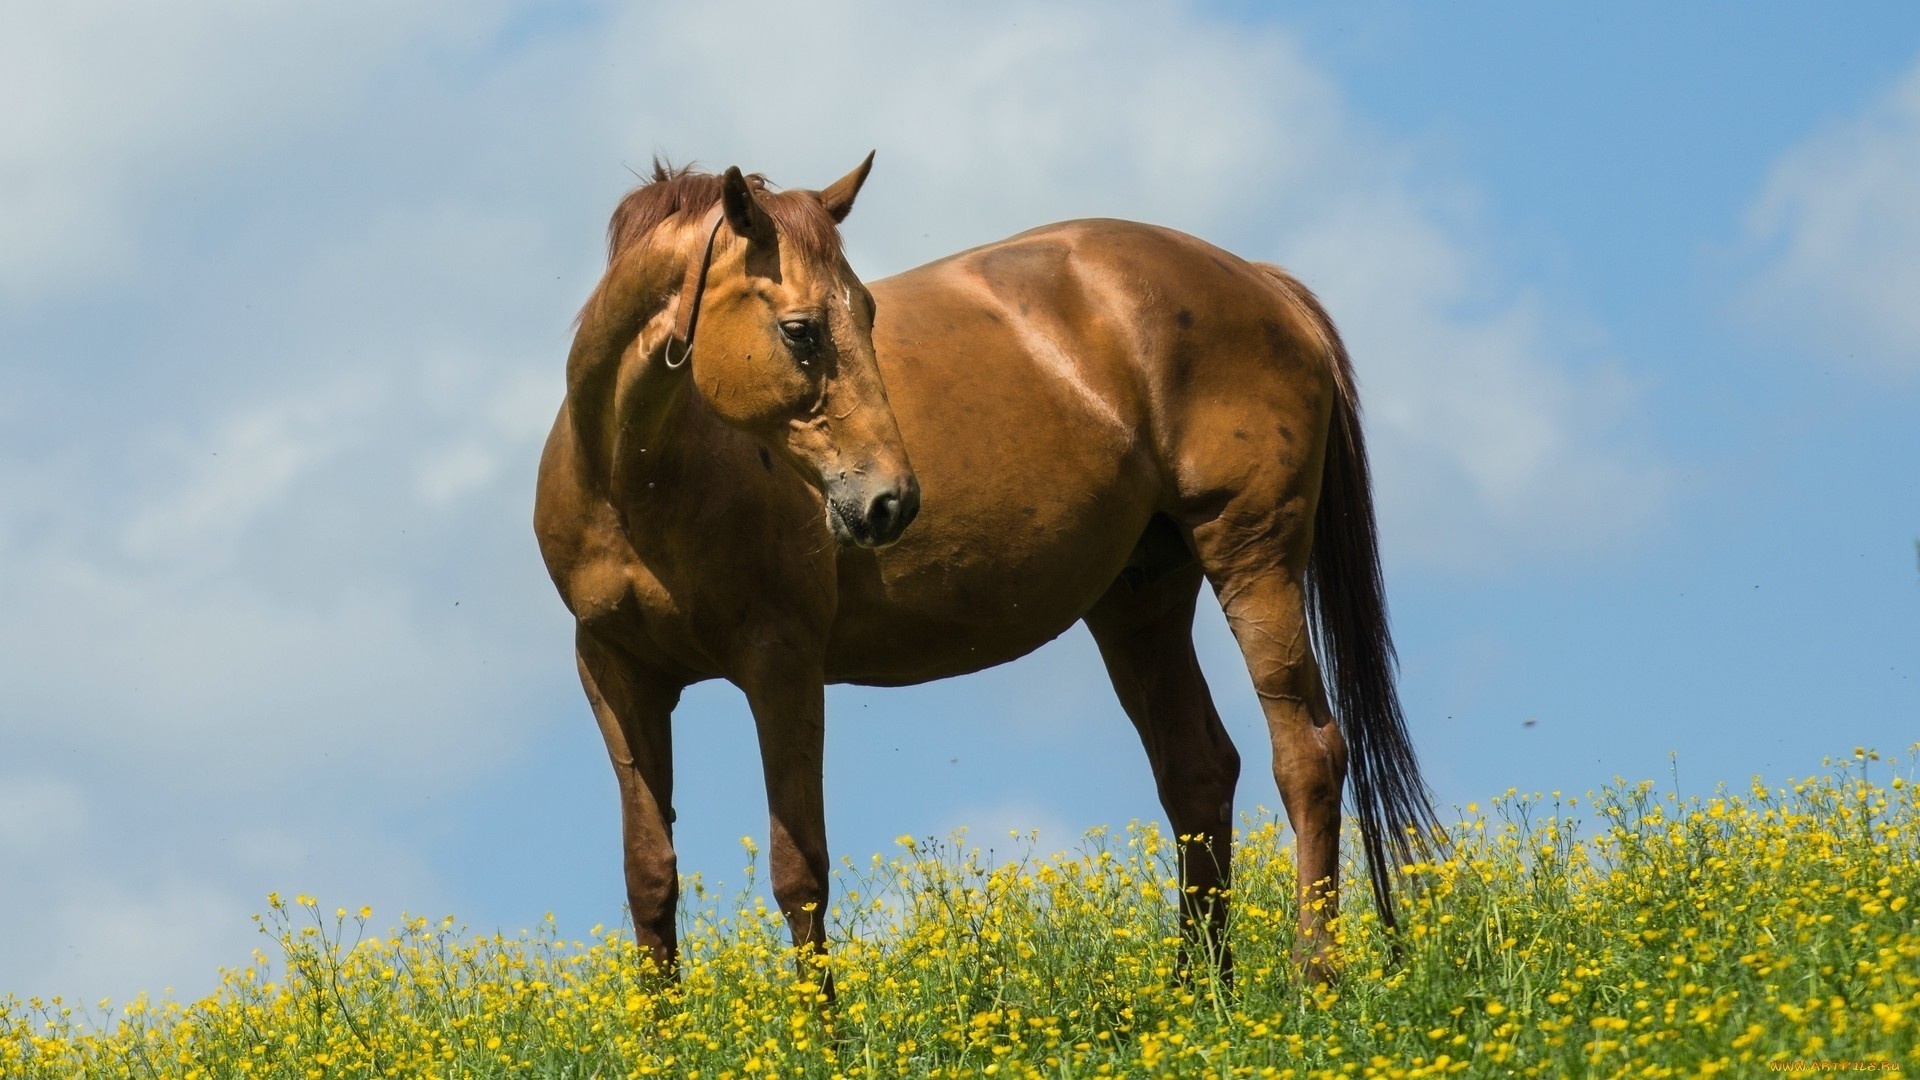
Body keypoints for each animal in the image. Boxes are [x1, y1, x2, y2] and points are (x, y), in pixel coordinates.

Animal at [533, 151, 1436, 983]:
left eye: (866, 313)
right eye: (800, 330)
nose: (890, 501)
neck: (639, 479)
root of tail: (1264, 284)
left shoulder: (780, 664)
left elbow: (799, 874)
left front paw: (822, 1037)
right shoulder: (617, 675)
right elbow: (650, 880)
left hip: (1252, 560)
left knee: (1308, 754)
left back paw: (1312, 980)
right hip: (1139, 601)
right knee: (1199, 774)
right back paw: (1199, 994)